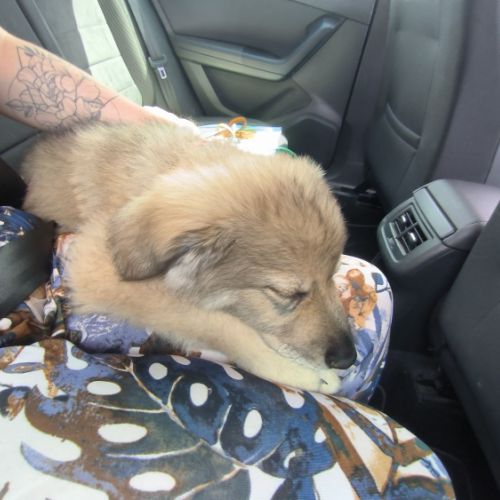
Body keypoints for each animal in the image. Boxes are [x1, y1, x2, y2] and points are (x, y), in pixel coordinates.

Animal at [21, 120, 356, 394]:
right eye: (286, 293)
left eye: (333, 275)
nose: (349, 359)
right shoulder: (95, 267)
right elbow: (217, 323)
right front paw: (298, 372)